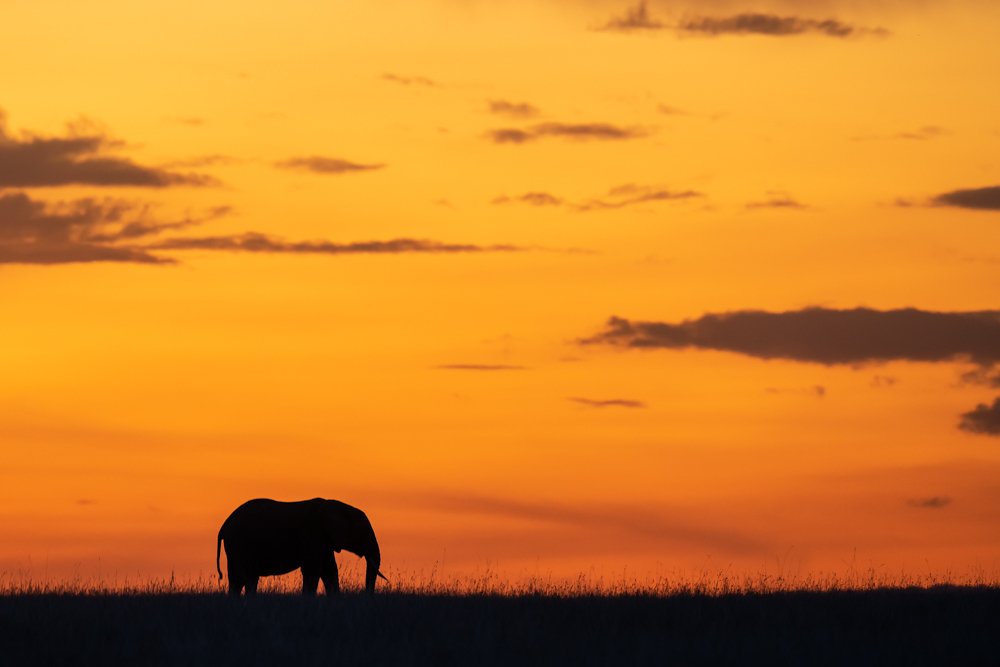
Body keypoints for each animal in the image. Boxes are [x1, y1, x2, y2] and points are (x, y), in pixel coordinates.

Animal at [216, 497, 386, 596]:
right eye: (363, 532)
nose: (367, 595)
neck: (337, 506)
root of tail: (224, 525)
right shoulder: (313, 535)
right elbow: (313, 570)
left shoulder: (324, 542)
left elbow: (329, 570)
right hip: (238, 545)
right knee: (239, 578)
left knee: (249, 578)